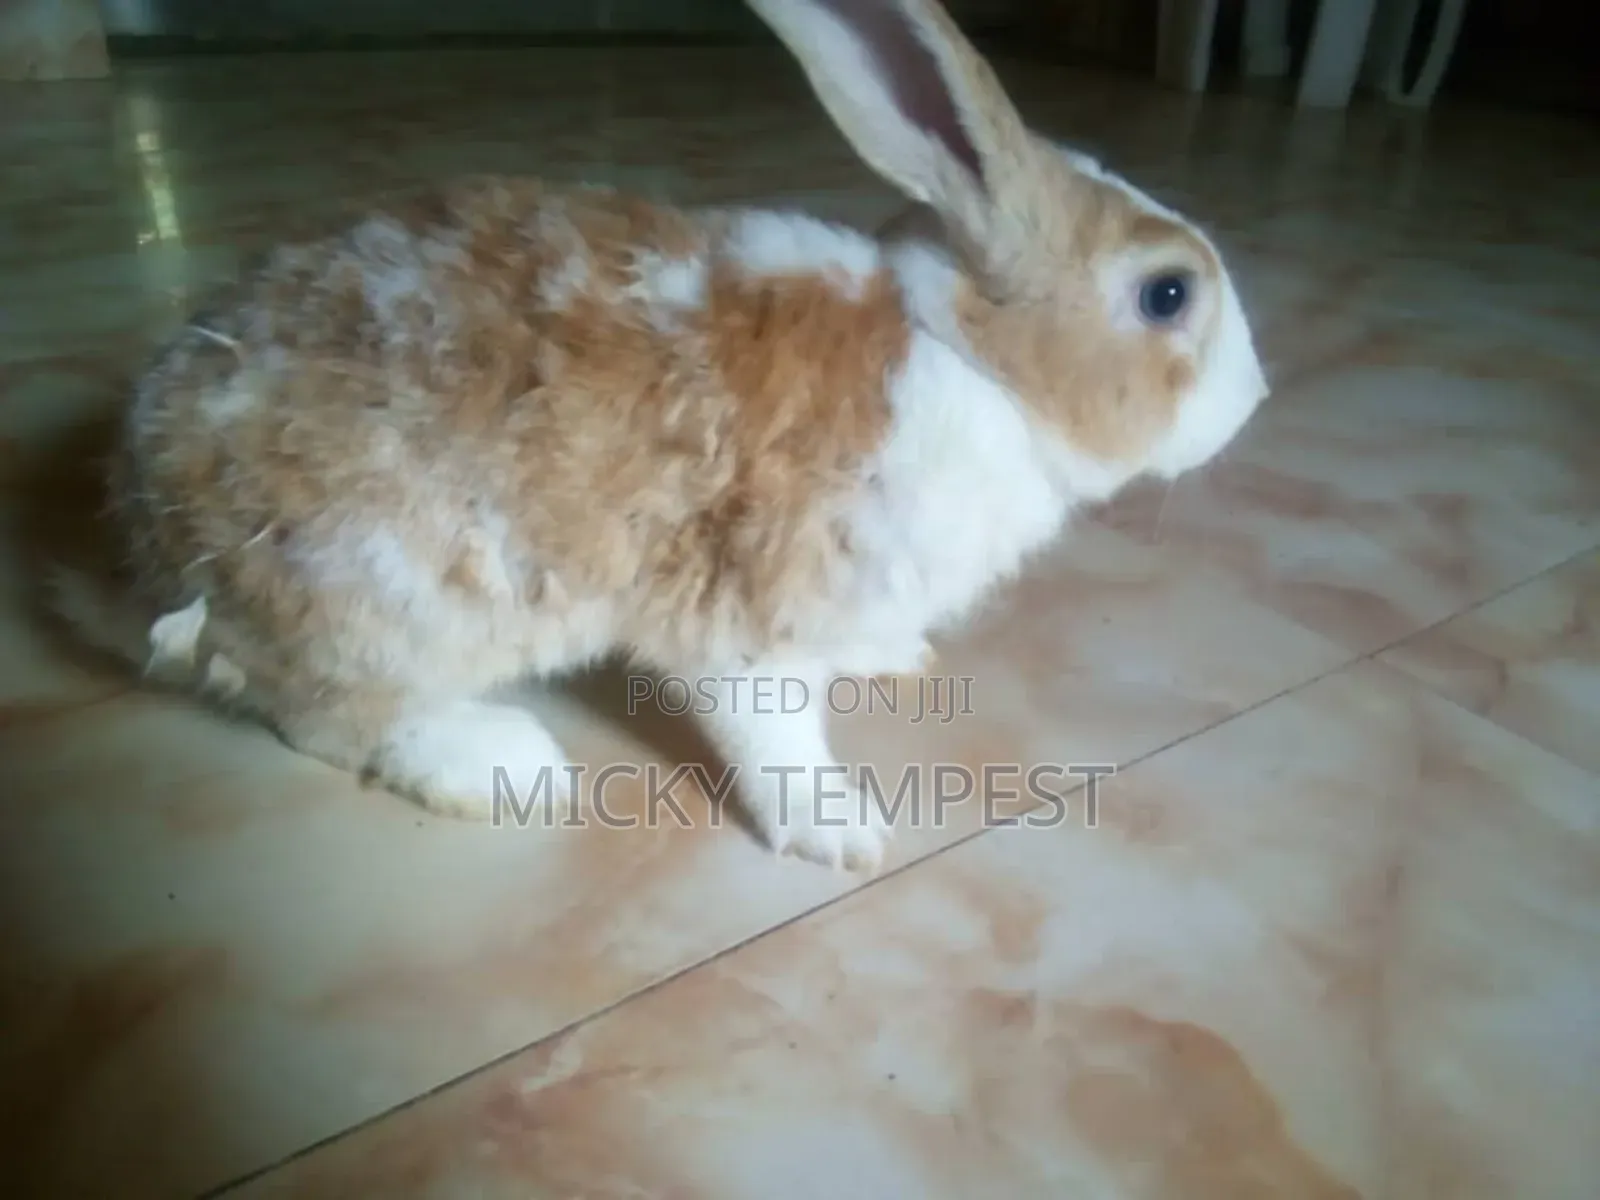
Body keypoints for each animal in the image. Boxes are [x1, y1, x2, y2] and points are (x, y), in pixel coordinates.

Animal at [52, 0, 1268, 872]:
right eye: (1166, 296)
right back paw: (503, 764)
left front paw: (892, 657)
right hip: (380, 608)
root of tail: (140, 517)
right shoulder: (745, 617)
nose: (1255, 395)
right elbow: (773, 734)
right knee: (323, 721)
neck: (968, 360)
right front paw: (840, 833)